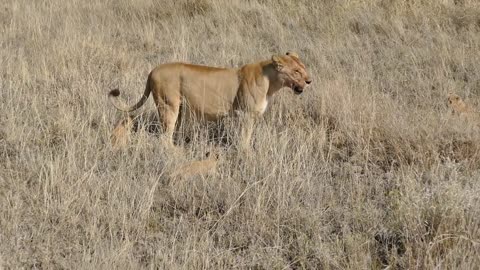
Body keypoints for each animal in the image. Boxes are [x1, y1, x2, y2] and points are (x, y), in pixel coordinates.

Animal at [108, 51, 312, 148]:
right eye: (296, 71)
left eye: (303, 68)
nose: (309, 81)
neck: (271, 83)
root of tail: (152, 71)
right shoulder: (245, 115)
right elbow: (245, 138)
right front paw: (247, 155)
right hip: (168, 106)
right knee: (165, 137)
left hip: (178, 109)